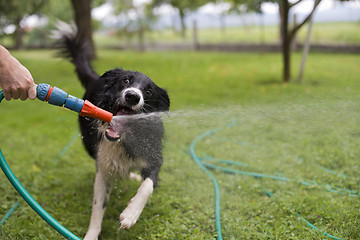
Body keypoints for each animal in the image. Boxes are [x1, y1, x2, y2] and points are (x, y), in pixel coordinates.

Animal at [56, 23, 170, 240]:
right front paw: (91, 235)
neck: (123, 139)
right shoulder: (103, 168)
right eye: (125, 81)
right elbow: (97, 207)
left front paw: (131, 214)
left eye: (148, 91)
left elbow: (148, 186)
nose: (133, 96)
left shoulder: (154, 156)